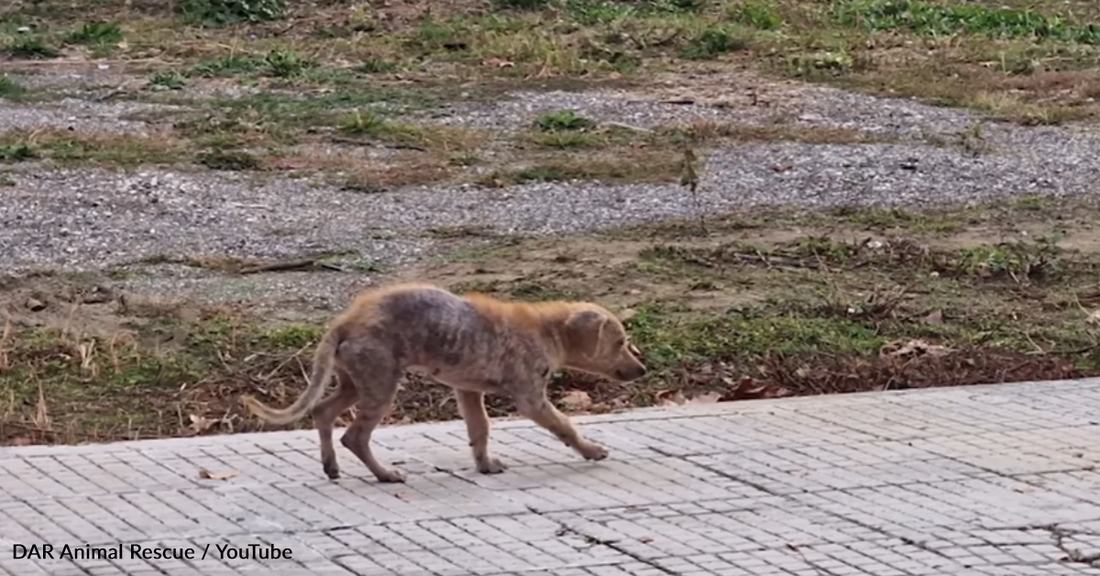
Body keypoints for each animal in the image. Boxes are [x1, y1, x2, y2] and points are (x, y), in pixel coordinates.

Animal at [240, 281, 642, 483]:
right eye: (620, 343)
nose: (642, 370)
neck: (547, 331)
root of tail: (345, 321)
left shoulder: (468, 389)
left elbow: (480, 429)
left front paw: (485, 465)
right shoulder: (530, 398)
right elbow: (565, 426)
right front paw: (591, 450)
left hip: (355, 381)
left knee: (324, 412)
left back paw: (331, 467)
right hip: (380, 383)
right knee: (354, 436)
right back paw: (385, 475)